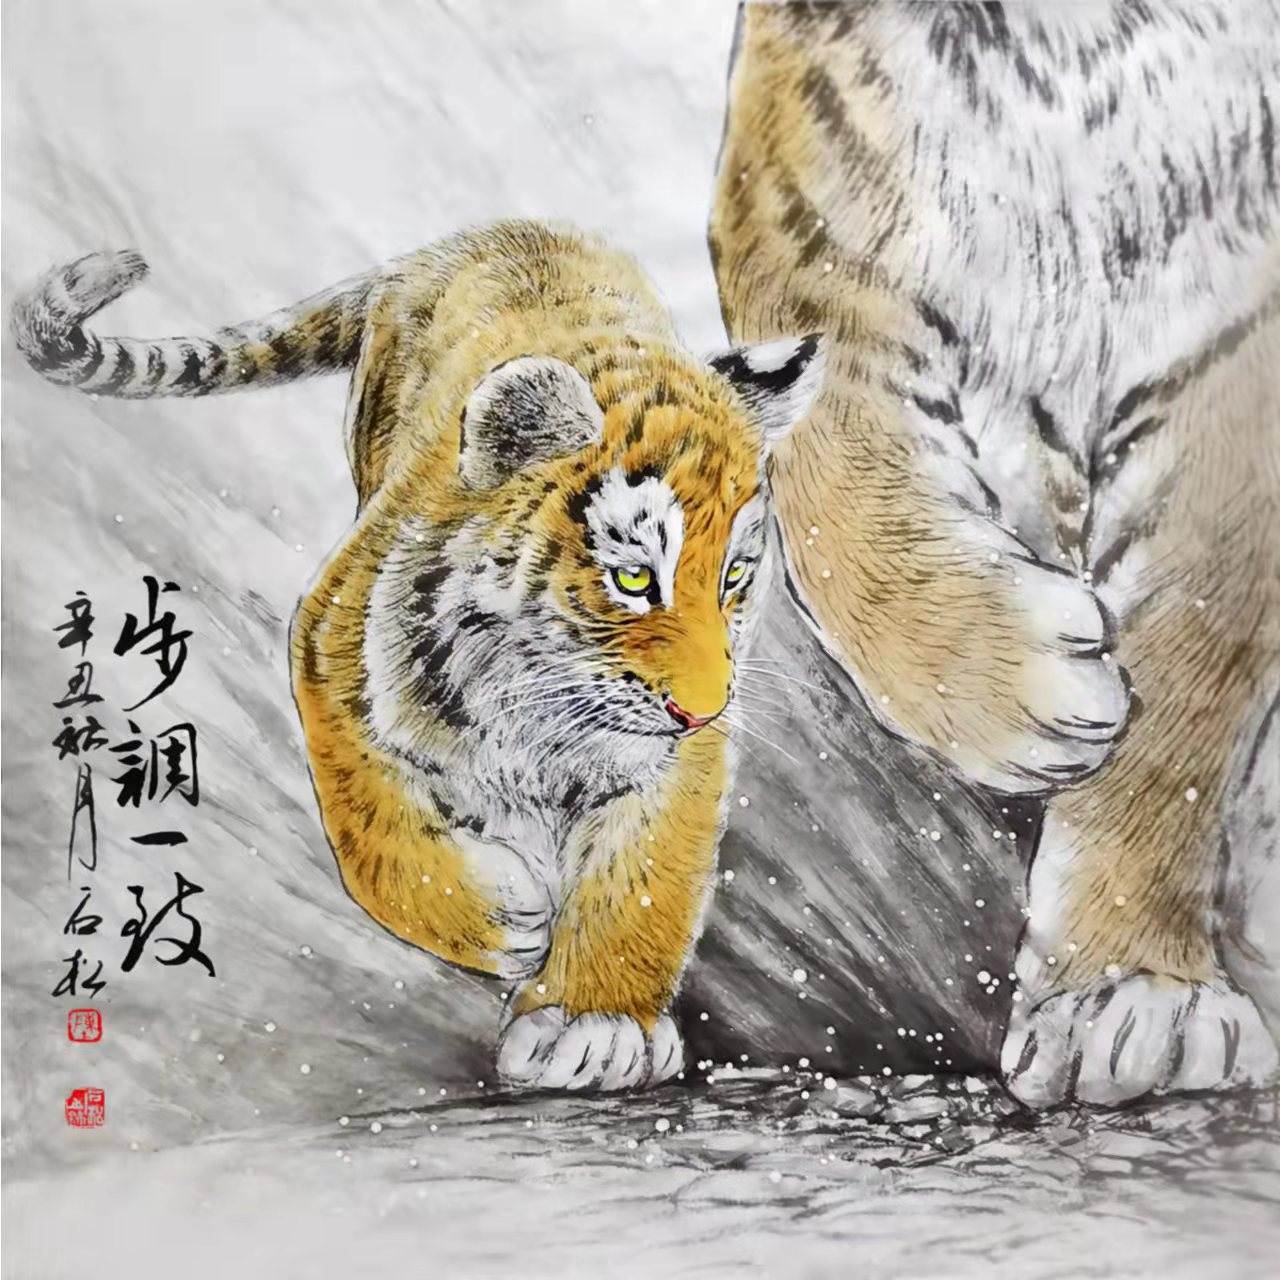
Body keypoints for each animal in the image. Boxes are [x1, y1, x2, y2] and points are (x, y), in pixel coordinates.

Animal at [12, 220, 825, 1091]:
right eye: (635, 578)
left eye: (734, 578)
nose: (701, 707)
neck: (540, 705)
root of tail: (485, 234)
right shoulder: (329, 650)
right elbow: (372, 828)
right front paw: (504, 918)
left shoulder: (673, 762)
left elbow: (643, 882)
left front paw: (596, 1027)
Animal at [711, 0, 1280, 1107]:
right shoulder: (819, 244)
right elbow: (842, 489)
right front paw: (1018, 687)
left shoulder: (1233, 351)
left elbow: (1184, 681)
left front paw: (1131, 990)